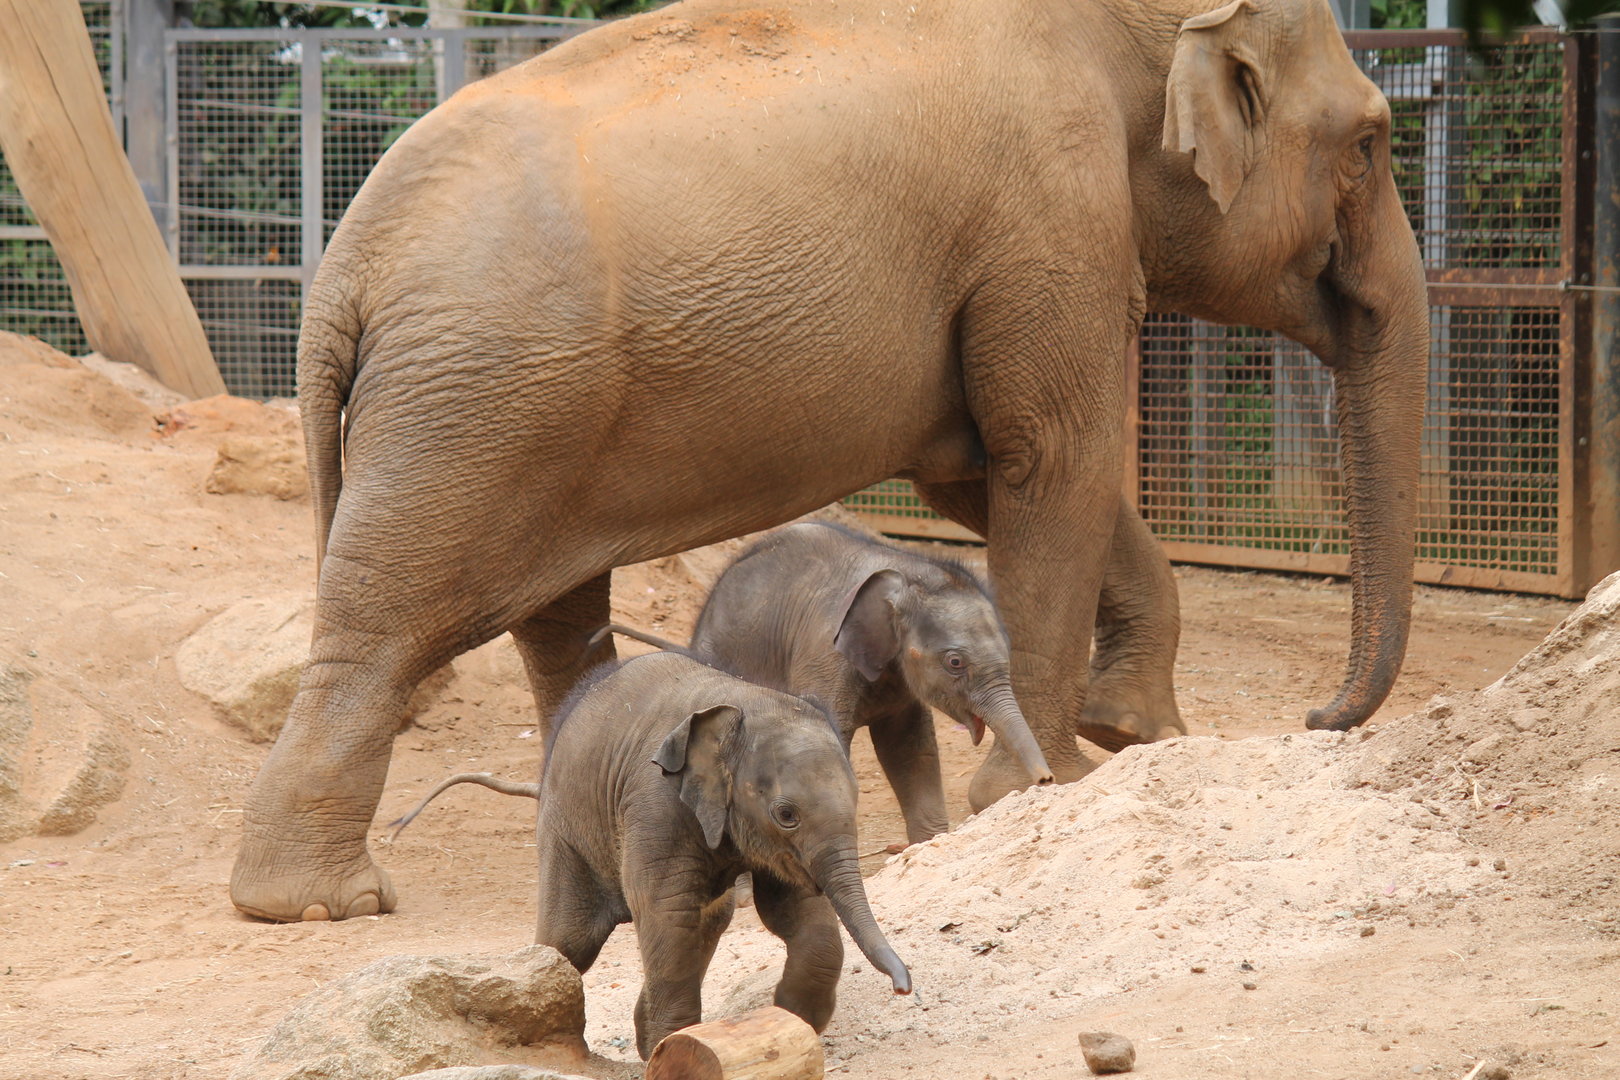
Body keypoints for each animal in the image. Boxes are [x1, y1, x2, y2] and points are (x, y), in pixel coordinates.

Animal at [387, 651, 912, 1059]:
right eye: (786, 814)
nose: (905, 987)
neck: (746, 702)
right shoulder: (654, 802)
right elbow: (665, 910)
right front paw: (675, 1046)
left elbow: (793, 906)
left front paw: (791, 1017)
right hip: (565, 831)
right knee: (569, 940)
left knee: (708, 921)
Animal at [601, 521, 1057, 845]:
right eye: (955, 662)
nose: (1046, 781)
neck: (905, 569)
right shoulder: (823, 654)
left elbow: (910, 746)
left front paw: (931, 843)